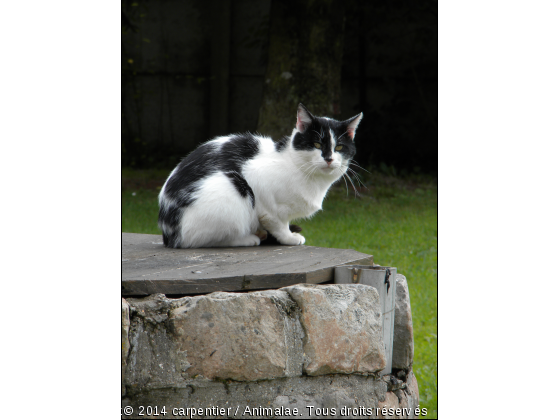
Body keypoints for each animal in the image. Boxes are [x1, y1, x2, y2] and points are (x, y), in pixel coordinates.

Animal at [158, 104, 364, 248]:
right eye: (316, 145)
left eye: (339, 147)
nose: (329, 159)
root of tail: (170, 235)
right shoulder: (257, 180)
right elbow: (277, 221)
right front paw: (289, 237)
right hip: (232, 189)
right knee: (202, 240)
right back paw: (248, 239)